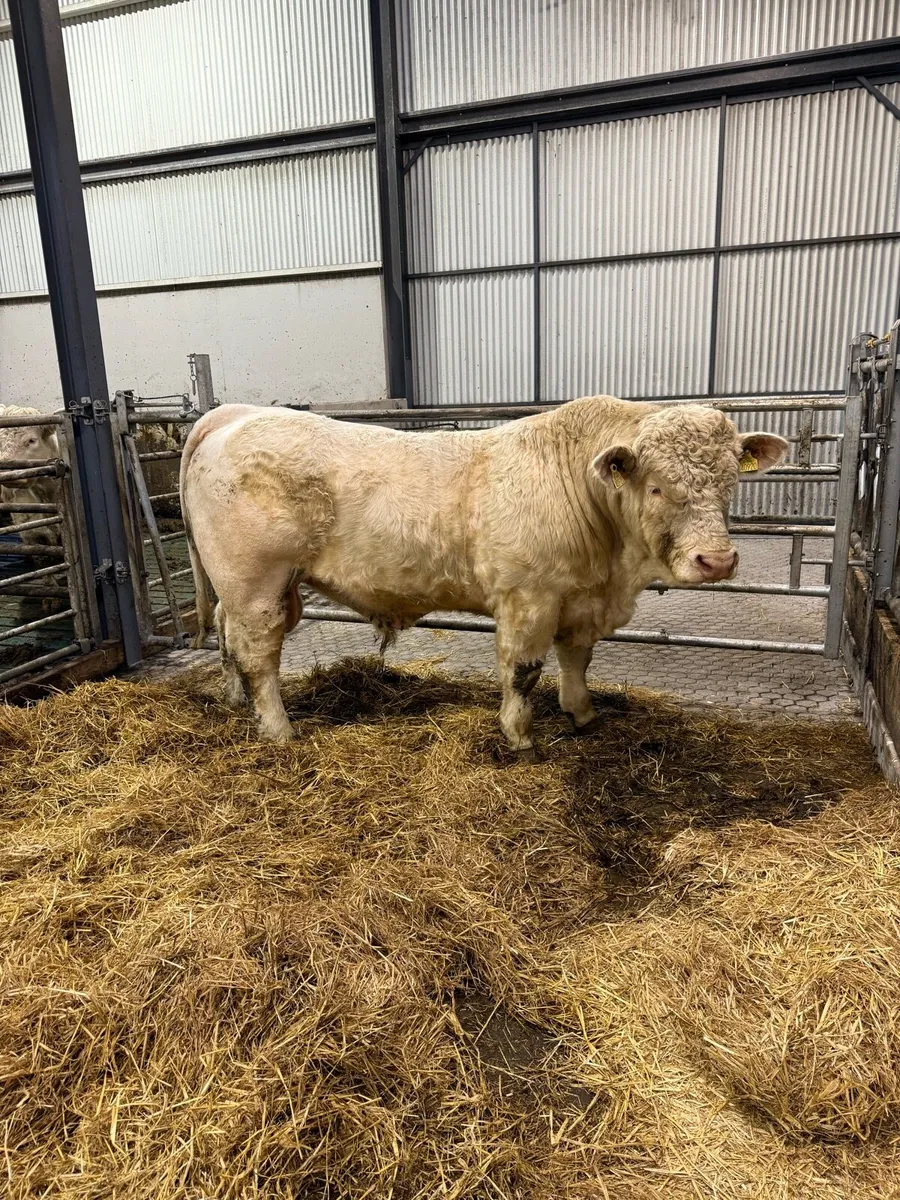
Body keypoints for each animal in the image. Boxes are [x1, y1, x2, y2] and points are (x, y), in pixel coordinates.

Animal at [180, 397, 787, 751]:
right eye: (657, 486)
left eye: (731, 481)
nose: (718, 561)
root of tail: (233, 413)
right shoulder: (528, 597)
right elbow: (523, 671)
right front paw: (519, 736)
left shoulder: (578, 598)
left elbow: (577, 659)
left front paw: (582, 713)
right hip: (256, 582)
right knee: (259, 656)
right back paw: (279, 730)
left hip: (248, 589)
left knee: (230, 639)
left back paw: (235, 702)